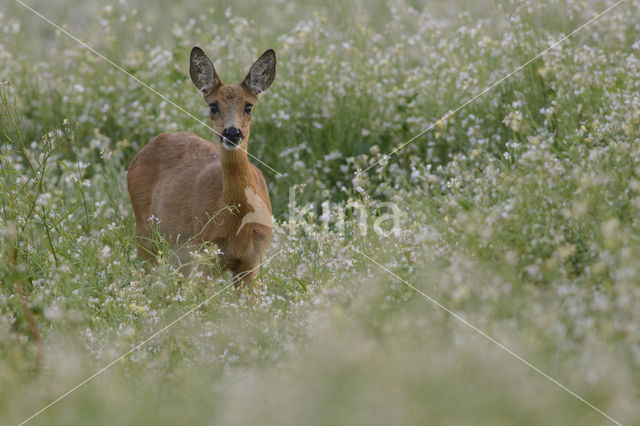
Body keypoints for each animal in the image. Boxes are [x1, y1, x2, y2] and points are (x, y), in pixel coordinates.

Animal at [125, 45, 276, 286]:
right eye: (213, 106)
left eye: (248, 106)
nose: (232, 133)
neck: (240, 217)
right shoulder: (207, 255)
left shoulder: (252, 261)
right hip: (146, 230)